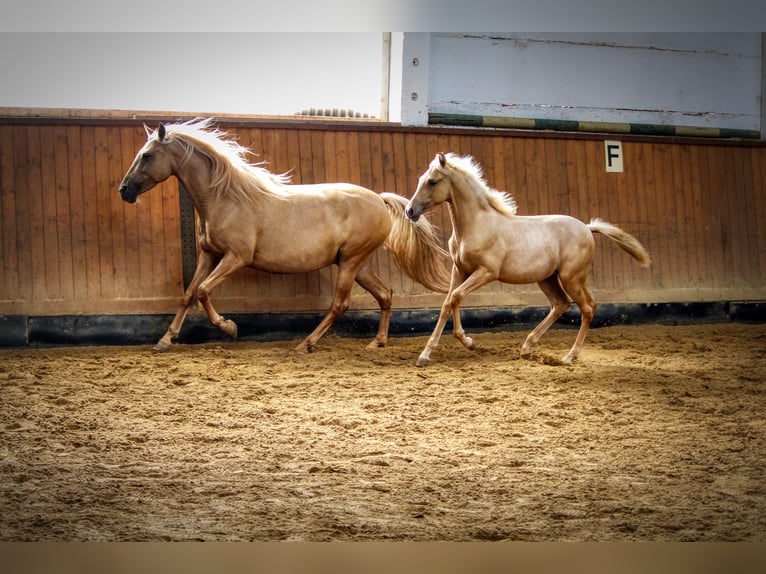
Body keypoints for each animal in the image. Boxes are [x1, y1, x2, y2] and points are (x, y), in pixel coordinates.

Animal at [118, 120, 452, 354]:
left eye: (147, 155)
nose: (124, 190)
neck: (225, 197)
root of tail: (379, 200)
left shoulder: (236, 257)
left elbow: (203, 291)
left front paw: (230, 328)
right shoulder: (209, 254)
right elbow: (188, 294)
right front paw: (165, 340)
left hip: (351, 262)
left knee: (340, 304)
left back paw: (306, 344)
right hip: (359, 264)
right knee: (385, 294)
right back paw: (377, 343)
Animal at [404, 153, 652, 368]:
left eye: (432, 182)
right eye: (420, 180)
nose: (410, 211)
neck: (476, 225)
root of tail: (587, 228)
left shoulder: (486, 272)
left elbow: (454, 297)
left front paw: (458, 345)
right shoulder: (460, 270)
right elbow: (449, 302)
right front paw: (436, 351)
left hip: (571, 277)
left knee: (588, 307)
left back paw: (569, 356)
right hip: (548, 278)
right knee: (560, 304)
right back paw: (527, 347)